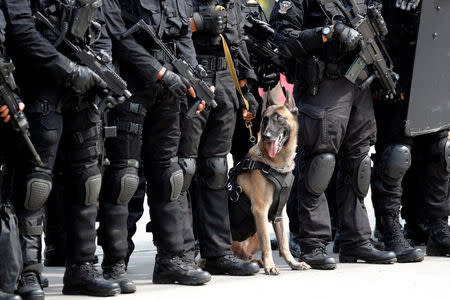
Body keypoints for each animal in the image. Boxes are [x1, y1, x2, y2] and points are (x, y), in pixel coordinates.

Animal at [230, 95, 312, 274]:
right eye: (265, 120)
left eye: (278, 118)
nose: (266, 136)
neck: (275, 165)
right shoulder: (260, 210)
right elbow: (267, 243)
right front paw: (270, 265)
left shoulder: (278, 213)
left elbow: (284, 244)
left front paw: (293, 263)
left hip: (252, 236)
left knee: (245, 255)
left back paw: (254, 261)